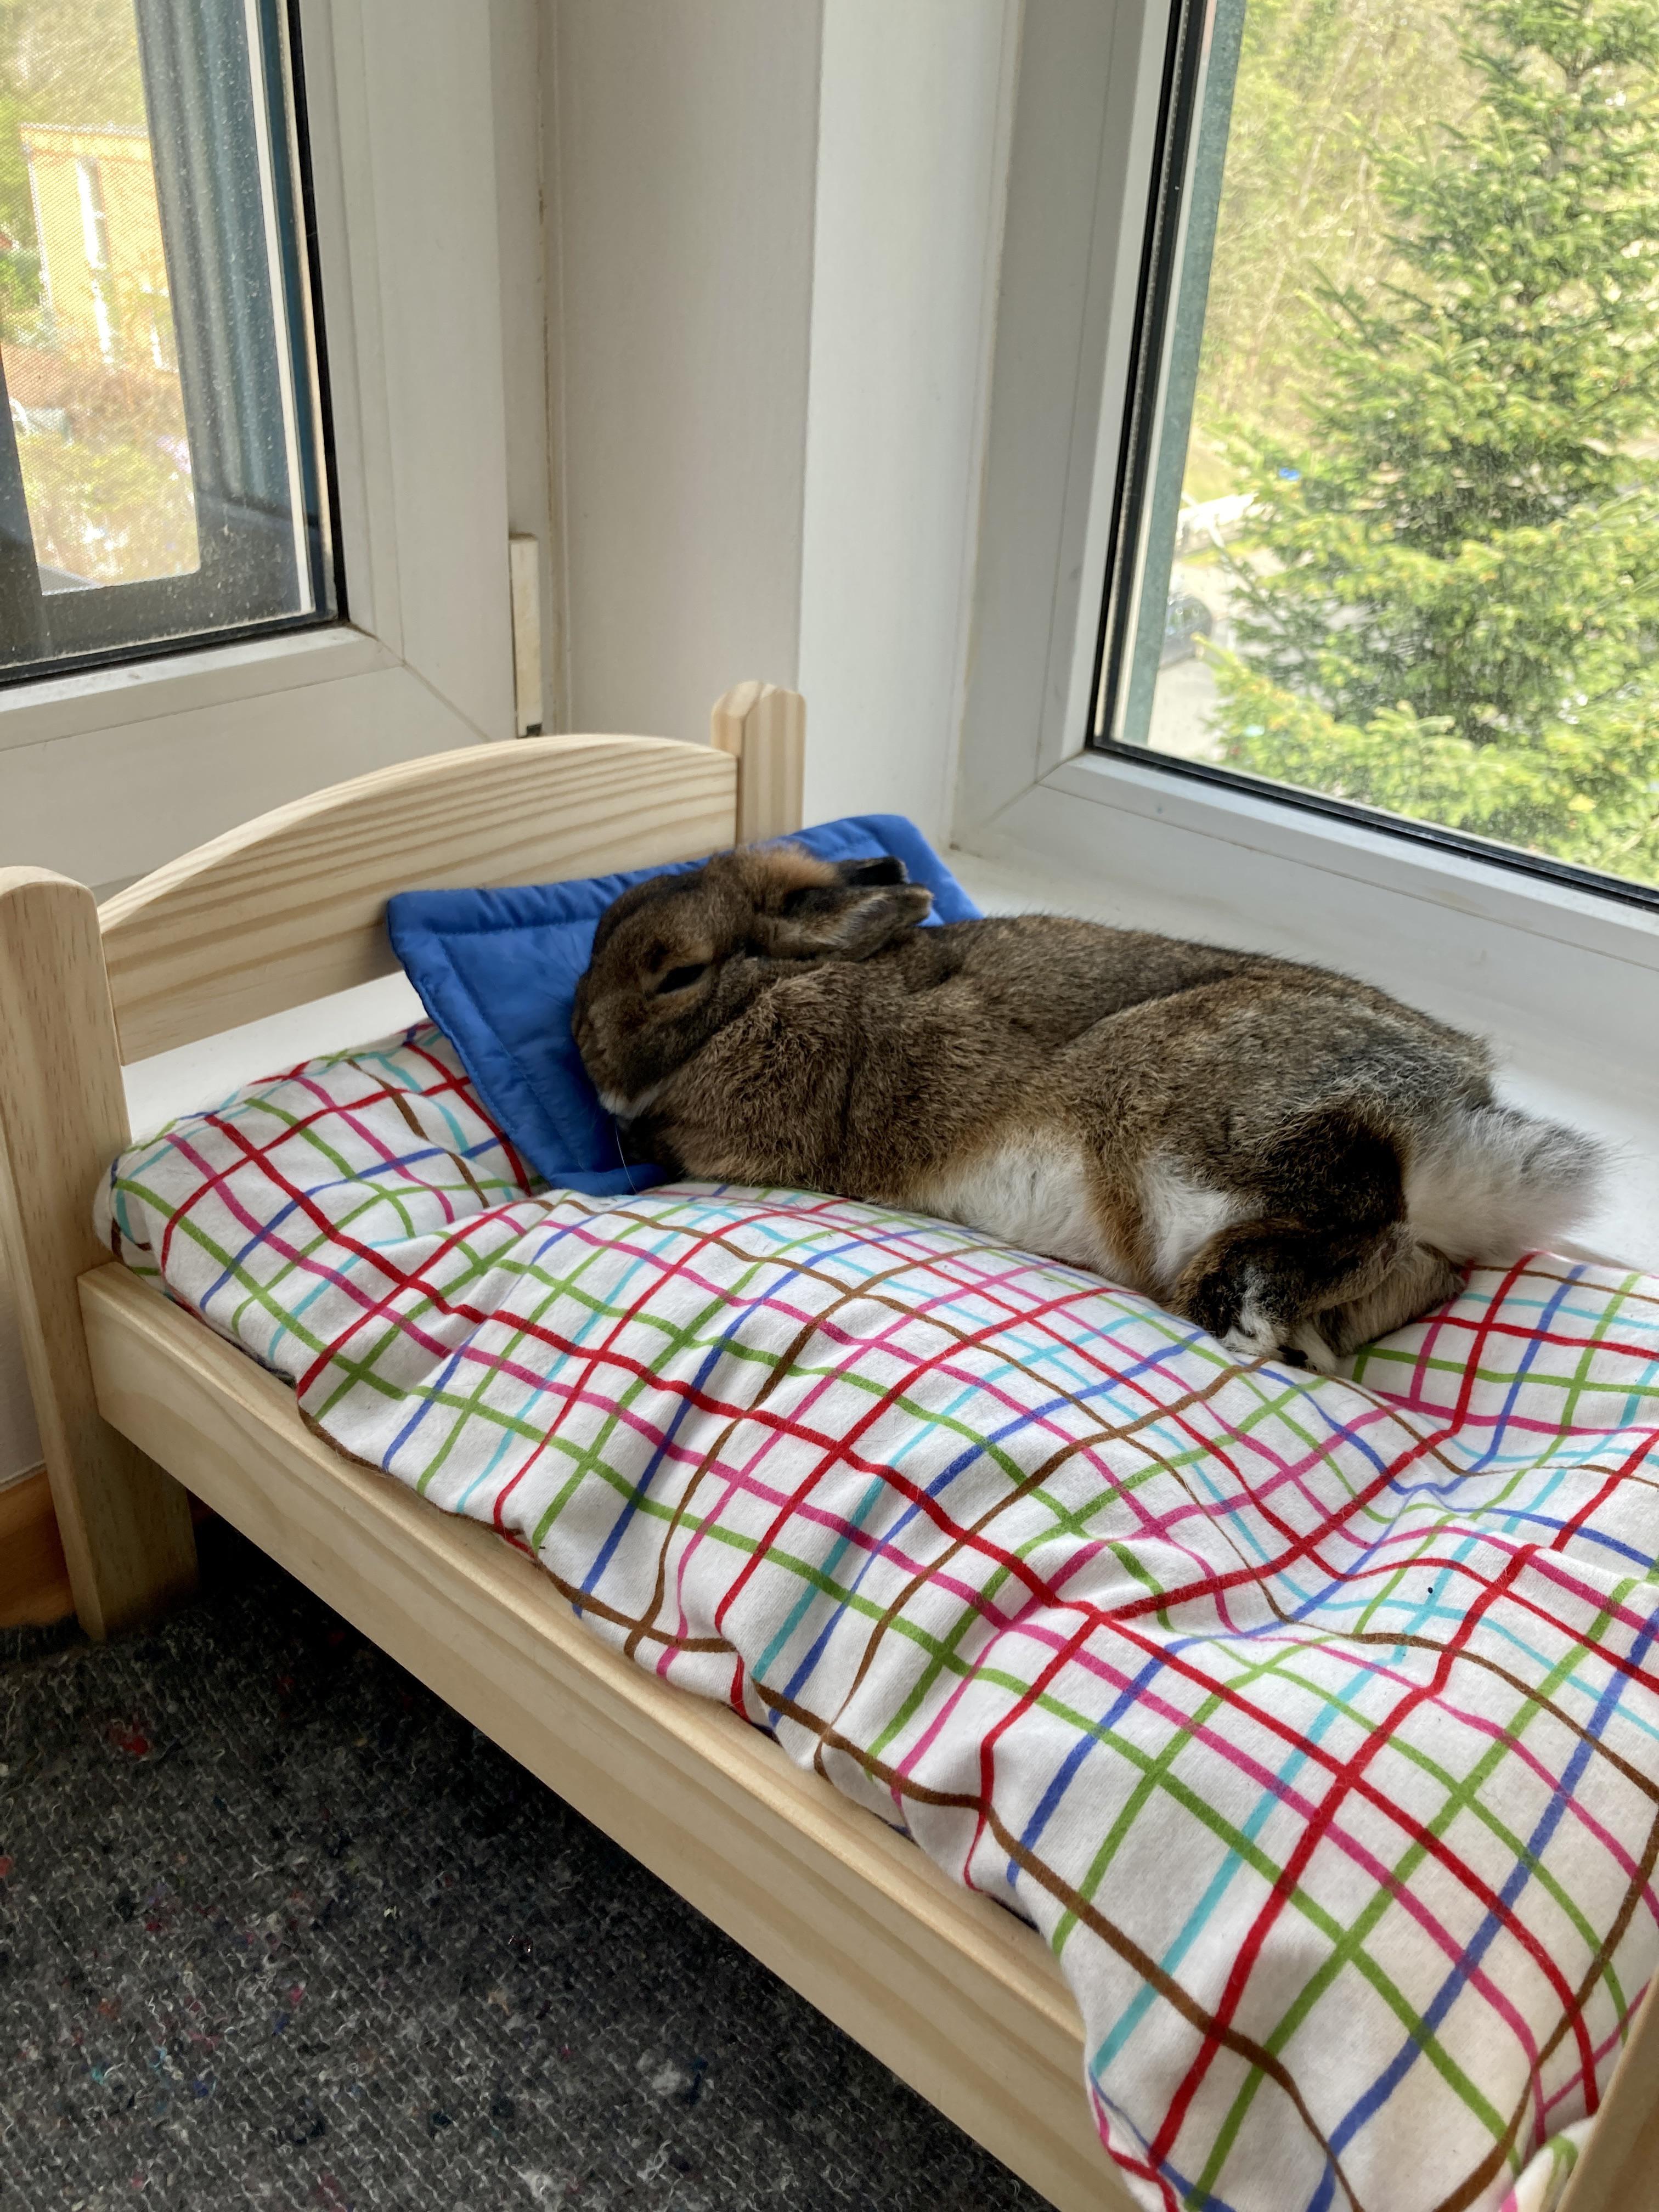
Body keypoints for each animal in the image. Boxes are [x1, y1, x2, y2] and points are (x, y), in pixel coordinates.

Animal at [571, 843, 1602, 1369]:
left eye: (676, 973)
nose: (581, 1046)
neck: (775, 985)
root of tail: (1464, 1119)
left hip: (1195, 1133)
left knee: (1354, 1212)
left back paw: (1241, 1307)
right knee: (1402, 1272)